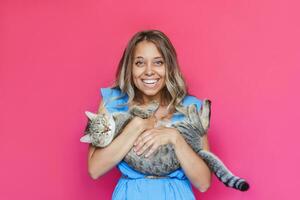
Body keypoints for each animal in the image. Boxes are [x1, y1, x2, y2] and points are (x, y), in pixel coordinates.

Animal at [80, 100, 251, 192]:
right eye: (98, 134)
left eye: (101, 123)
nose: (106, 129)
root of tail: (196, 149)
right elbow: (136, 110)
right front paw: (148, 109)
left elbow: (134, 107)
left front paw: (151, 105)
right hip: (182, 128)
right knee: (201, 126)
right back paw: (194, 107)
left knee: (202, 126)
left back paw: (184, 106)